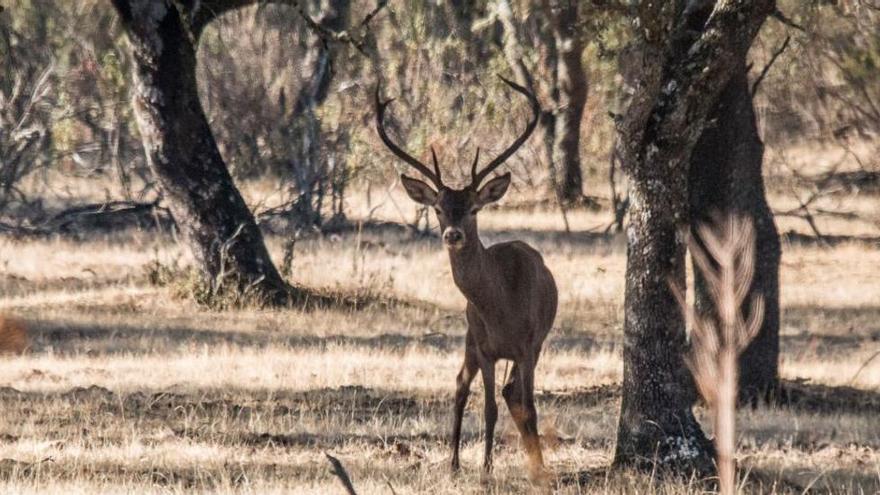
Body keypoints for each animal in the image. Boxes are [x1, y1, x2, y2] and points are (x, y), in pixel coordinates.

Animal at [372, 76, 556, 480]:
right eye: (439, 208)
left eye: (473, 208)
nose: (453, 234)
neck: (502, 306)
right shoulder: (485, 347)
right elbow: (487, 408)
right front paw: (485, 469)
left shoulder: (529, 345)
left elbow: (529, 405)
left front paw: (537, 469)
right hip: (470, 338)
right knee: (461, 384)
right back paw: (454, 463)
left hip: (527, 346)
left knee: (511, 394)